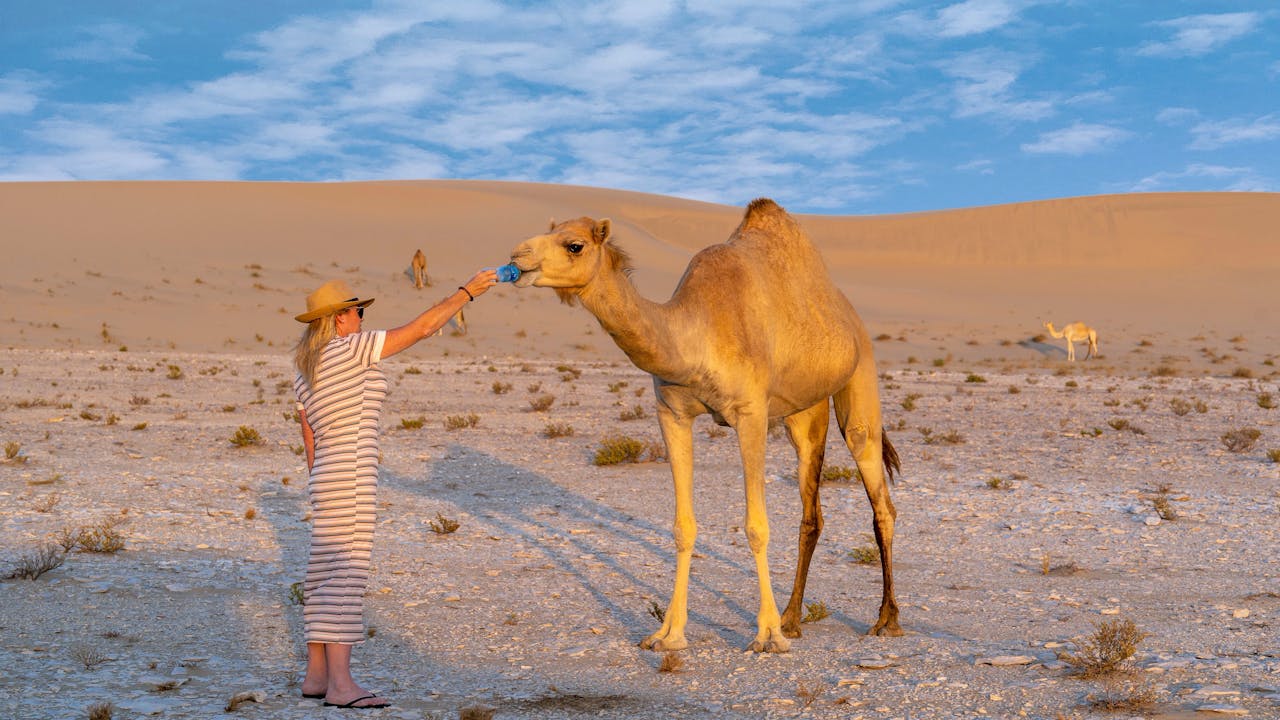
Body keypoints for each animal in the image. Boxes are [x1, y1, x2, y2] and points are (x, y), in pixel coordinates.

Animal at [504, 196, 906, 650]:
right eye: (549, 231)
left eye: (574, 245)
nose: (516, 257)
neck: (694, 336)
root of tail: (849, 316)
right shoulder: (672, 413)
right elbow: (683, 527)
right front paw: (669, 633)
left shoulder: (751, 413)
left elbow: (756, 526)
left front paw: (766, 635)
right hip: (804, 412)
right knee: (812, 513)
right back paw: (792, 618)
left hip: (861, 378)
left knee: (878, 492)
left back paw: (885, 620)